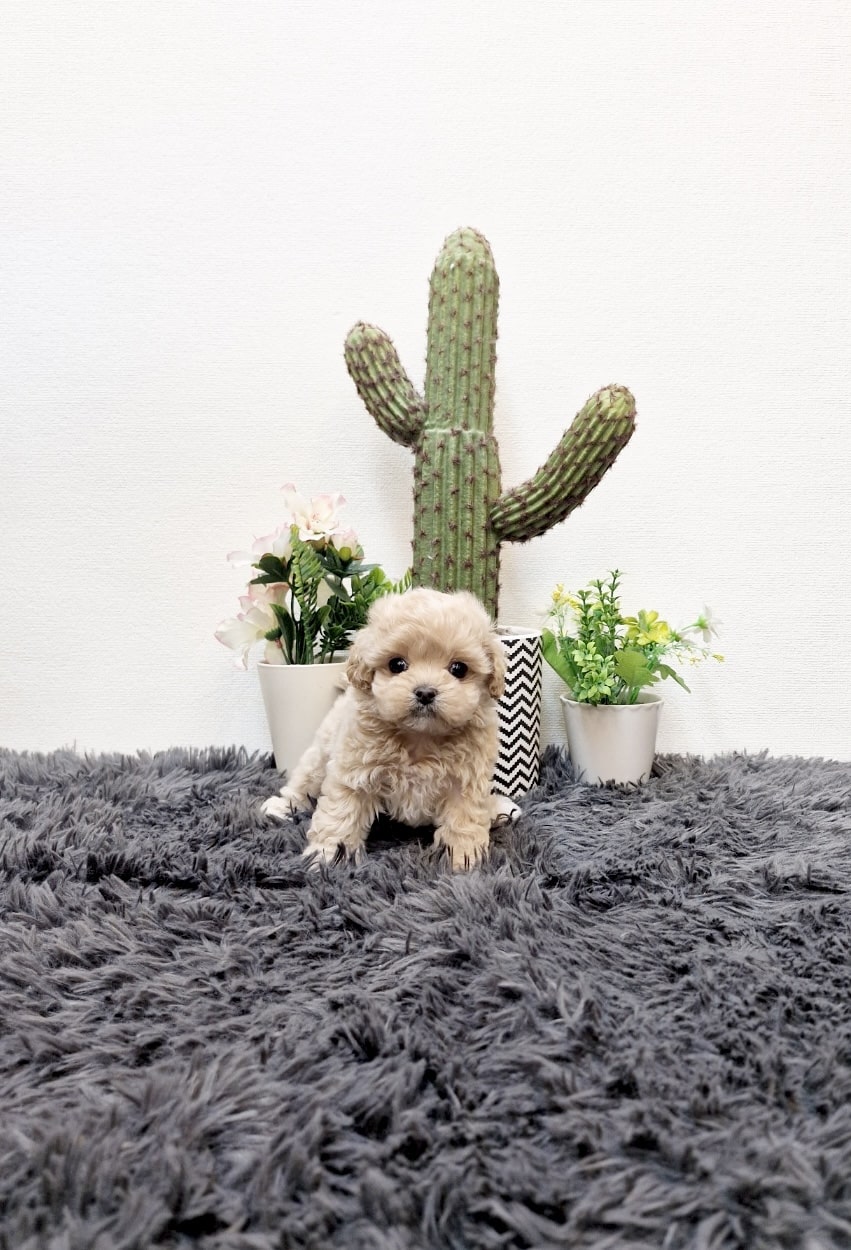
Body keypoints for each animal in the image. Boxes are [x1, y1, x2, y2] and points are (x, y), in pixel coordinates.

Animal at [261, 588, 520, 869]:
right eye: (397, 665)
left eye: (458, 669)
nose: (425, 692)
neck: (421, 737)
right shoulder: (354, 771)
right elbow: (341, 814)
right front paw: (327, 857)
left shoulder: (467, 780)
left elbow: (464, 821)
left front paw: (462, 859)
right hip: (321, 752)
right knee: (303, 783)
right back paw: (280, 806)